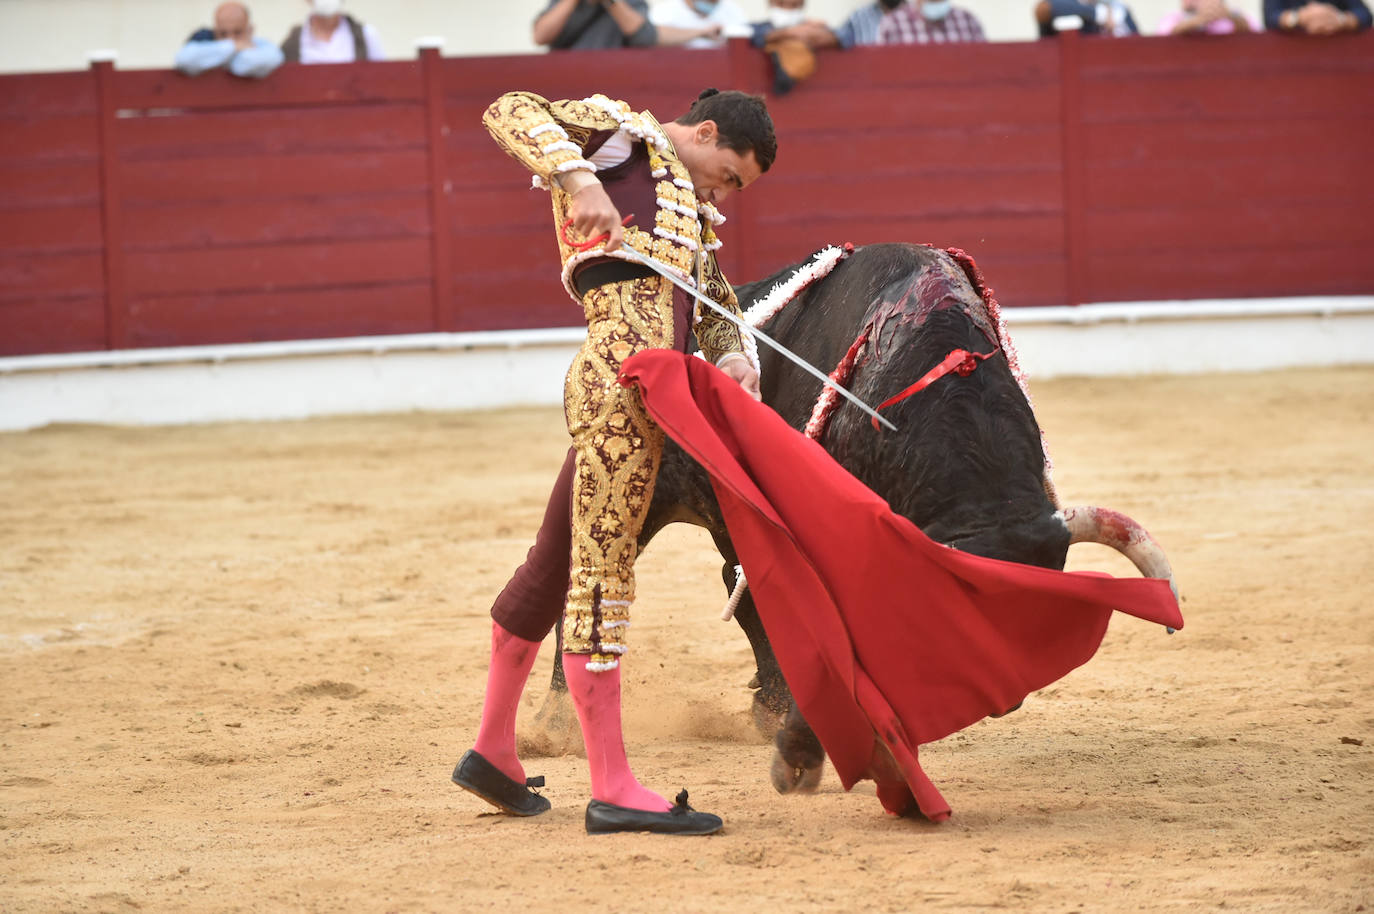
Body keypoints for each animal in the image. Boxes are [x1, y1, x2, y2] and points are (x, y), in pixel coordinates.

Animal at [541, 241, 1176, 797]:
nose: (1003, 696)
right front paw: (804, 754)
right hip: (632, 491)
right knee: (584, 582)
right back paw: (556, 723)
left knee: (742, 589)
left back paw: (768, 706)